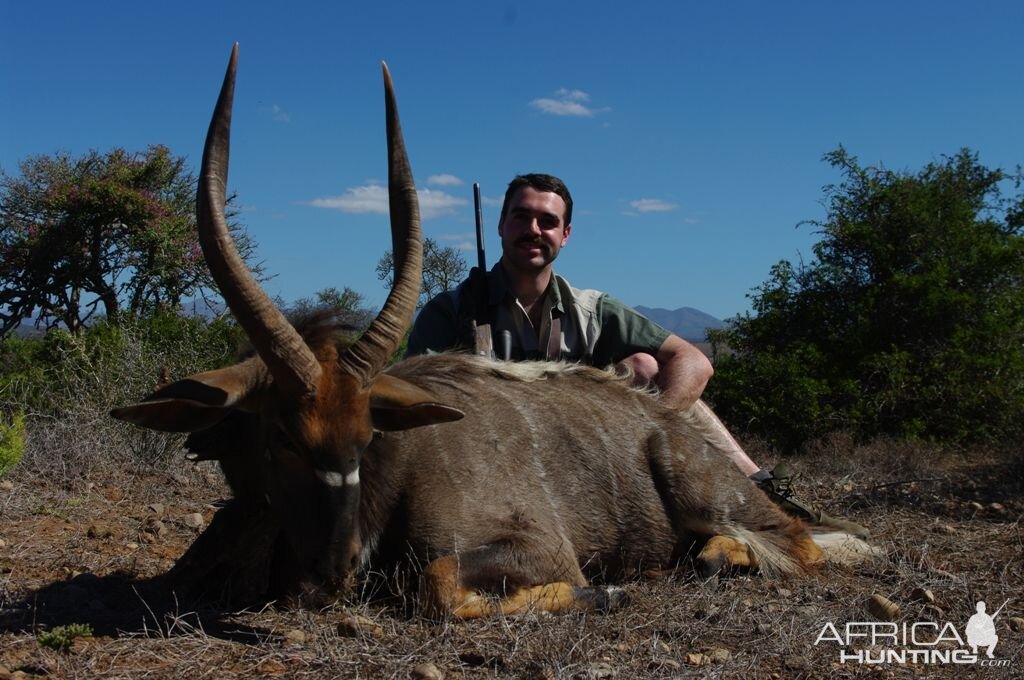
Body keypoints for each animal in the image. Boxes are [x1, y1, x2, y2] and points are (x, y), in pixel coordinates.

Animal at [112, 46, 864, 622]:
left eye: (367, 436)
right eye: (281, 438)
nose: (336, 570)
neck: (396, 468)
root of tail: (666, 425)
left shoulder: (537, 548)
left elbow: (438, 584)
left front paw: (606, 593)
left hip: (714, 498)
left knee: (800, 545)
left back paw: (706, 560)